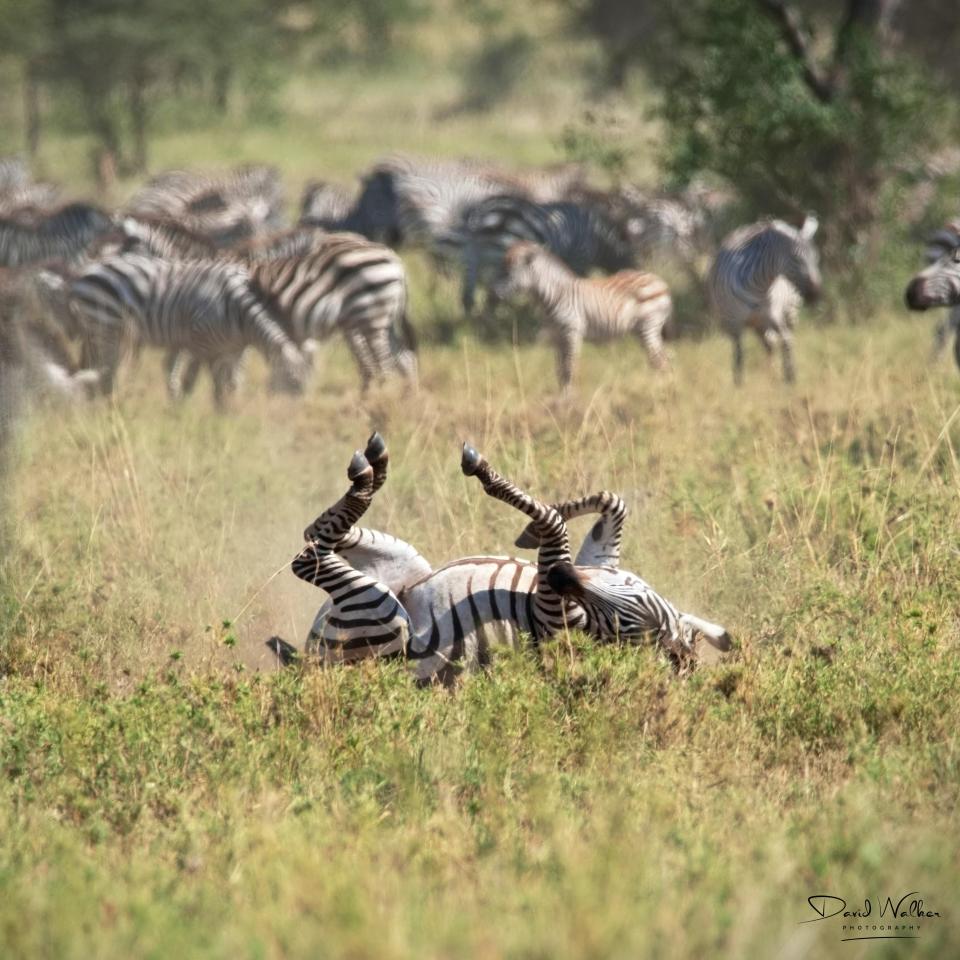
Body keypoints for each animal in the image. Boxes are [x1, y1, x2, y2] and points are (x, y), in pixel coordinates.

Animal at [50, 253, 308, 407]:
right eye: (292, 382)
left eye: (304, 385)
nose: (291, 415)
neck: (238, 313)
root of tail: (84, 271)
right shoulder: (201, 343)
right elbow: (202, 382)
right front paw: (199, 413)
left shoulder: (233, 350)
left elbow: (231, 383)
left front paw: (230, 412)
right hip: (106, 325)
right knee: (107, 372)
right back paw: (110, 407)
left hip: (99, 330)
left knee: (95, 368)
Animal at [457, 194, 635, 317]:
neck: (596, 236)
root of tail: (480, 216)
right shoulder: (578, 259)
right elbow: (574, 283)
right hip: (502, 253)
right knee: (493, 294)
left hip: (471, 255)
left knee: (469, 296)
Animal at [496, 241, 672, 391]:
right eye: (504, 270)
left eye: (509, 272)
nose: (495, 293)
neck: (555, 295)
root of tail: (659, 281)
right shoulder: (557, 336)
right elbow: (560, 370)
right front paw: (561, 398)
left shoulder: (572, 332)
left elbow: (570, 367)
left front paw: (569, 400)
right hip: (641, 330)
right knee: (658, 359)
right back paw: (655, 388)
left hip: (649, 326)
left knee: (661, 360)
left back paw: (660, 391)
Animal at [707, 215, 821, 385]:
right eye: (796, 259)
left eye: (816, 258)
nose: (816, 295)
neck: (760, 285)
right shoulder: (734, 324)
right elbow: (739, 356)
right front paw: (738, 385)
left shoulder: (774, 316)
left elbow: (786, 342)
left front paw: (790, 379)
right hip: (754, 324)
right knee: (768, 344)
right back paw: (769, 374)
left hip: (788, 313)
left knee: (779, 340)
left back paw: (774, 375)